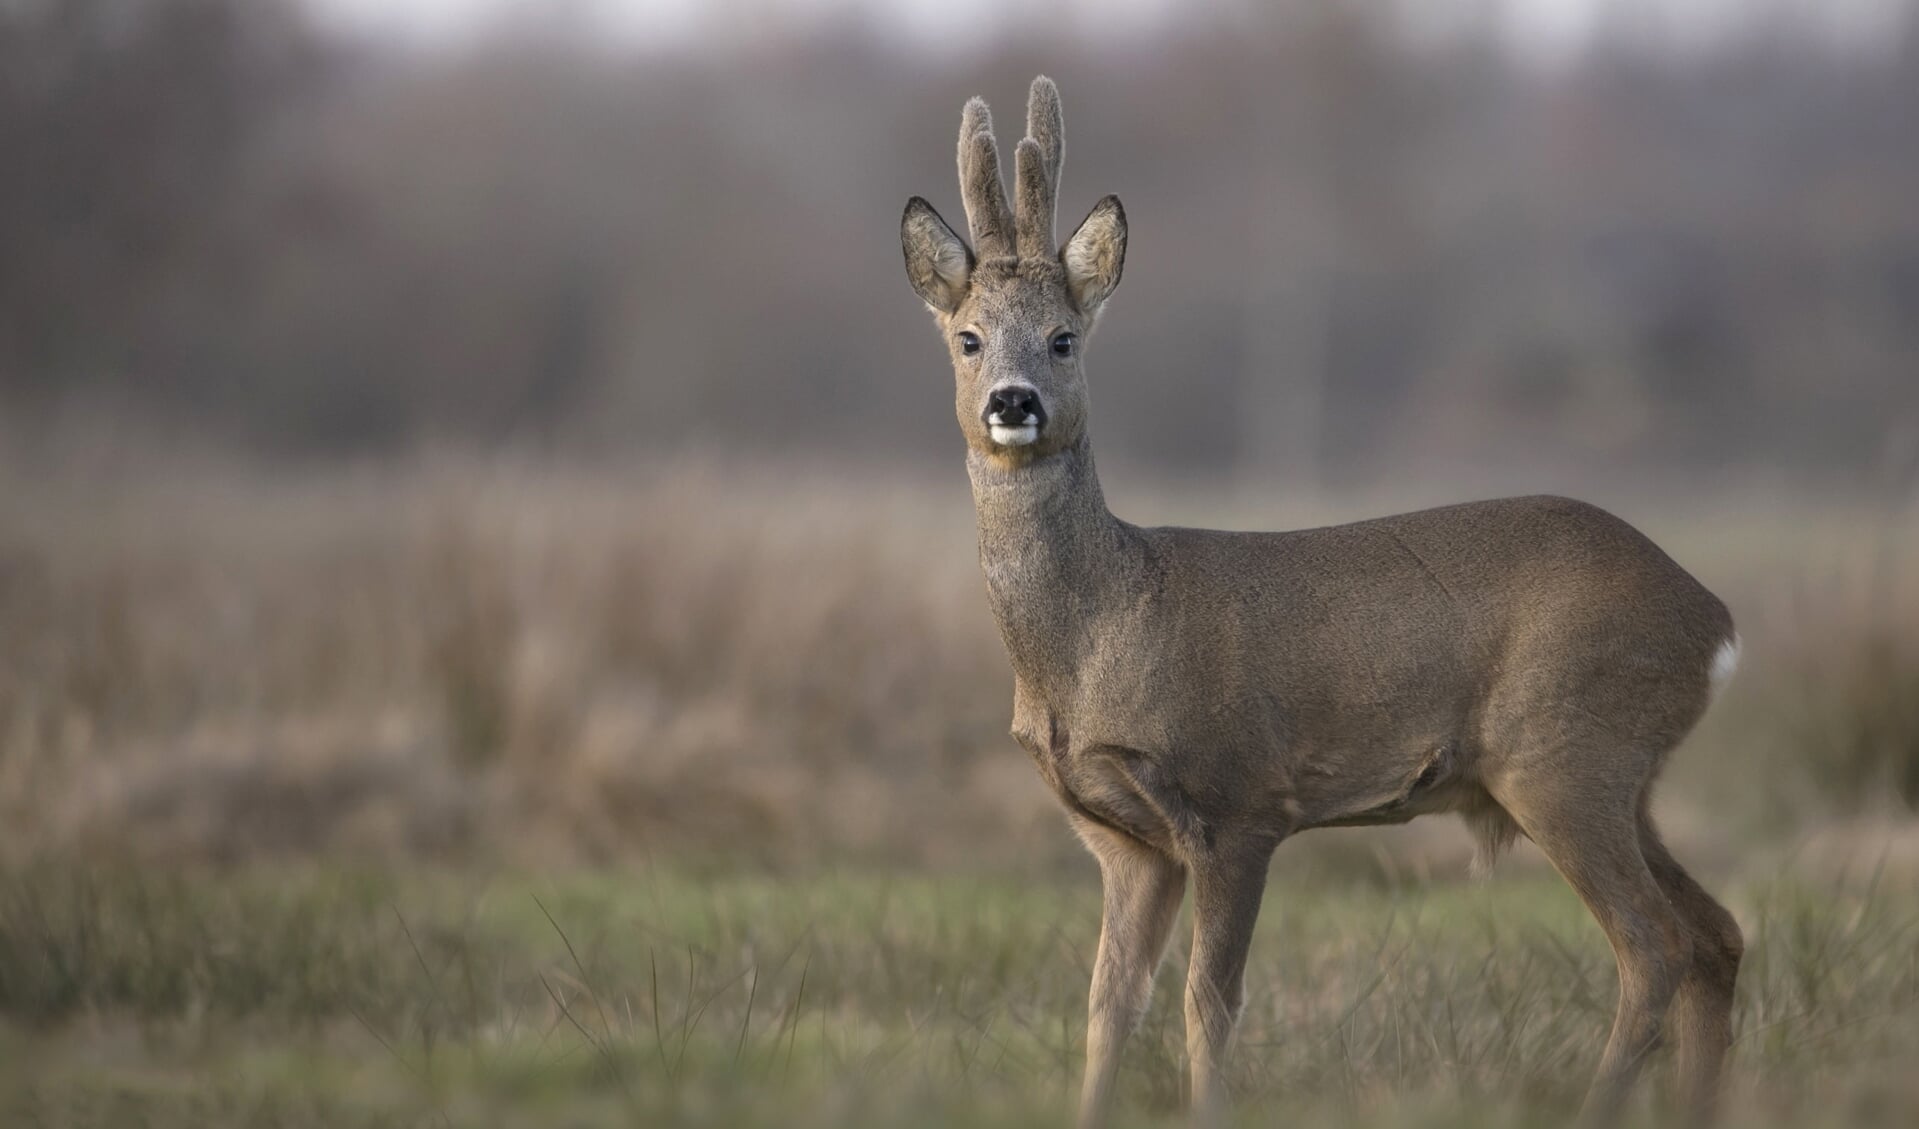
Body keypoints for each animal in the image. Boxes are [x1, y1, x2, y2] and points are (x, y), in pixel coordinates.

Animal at [898, 74, 1742, 1121]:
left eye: (1061, 339)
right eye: (968, 338)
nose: (1012, 401)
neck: (1102, 629)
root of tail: (1713, 621)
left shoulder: (1238, 799)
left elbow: (1208, 1000)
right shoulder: (1123, 838)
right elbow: (1108, 1003)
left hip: (1564, 753)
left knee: (1655, 946)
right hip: (1628, 778)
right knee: (1715, 936)